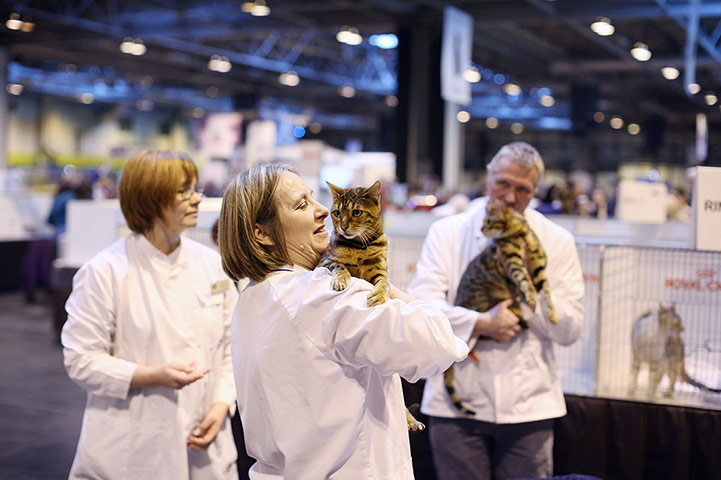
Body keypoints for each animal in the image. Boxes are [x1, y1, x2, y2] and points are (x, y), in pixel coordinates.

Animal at [318, 180, 424, 432]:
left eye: (356, 212)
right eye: (337, 213)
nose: (343, 227)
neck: (359, 246)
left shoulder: (380, 271)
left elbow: (384, 284)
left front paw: (379, 296)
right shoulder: (326, 262)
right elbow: (340, 267)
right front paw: (340, 280)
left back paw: (410, 420)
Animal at [444, 199, 556, 416]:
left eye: (488, 221)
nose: (481, 229)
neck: (521, 232)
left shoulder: (539, 267)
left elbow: (546, 291)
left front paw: (552, 314)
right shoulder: (511, 260)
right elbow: (525, 279)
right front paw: (530, 296)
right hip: (489, 300)